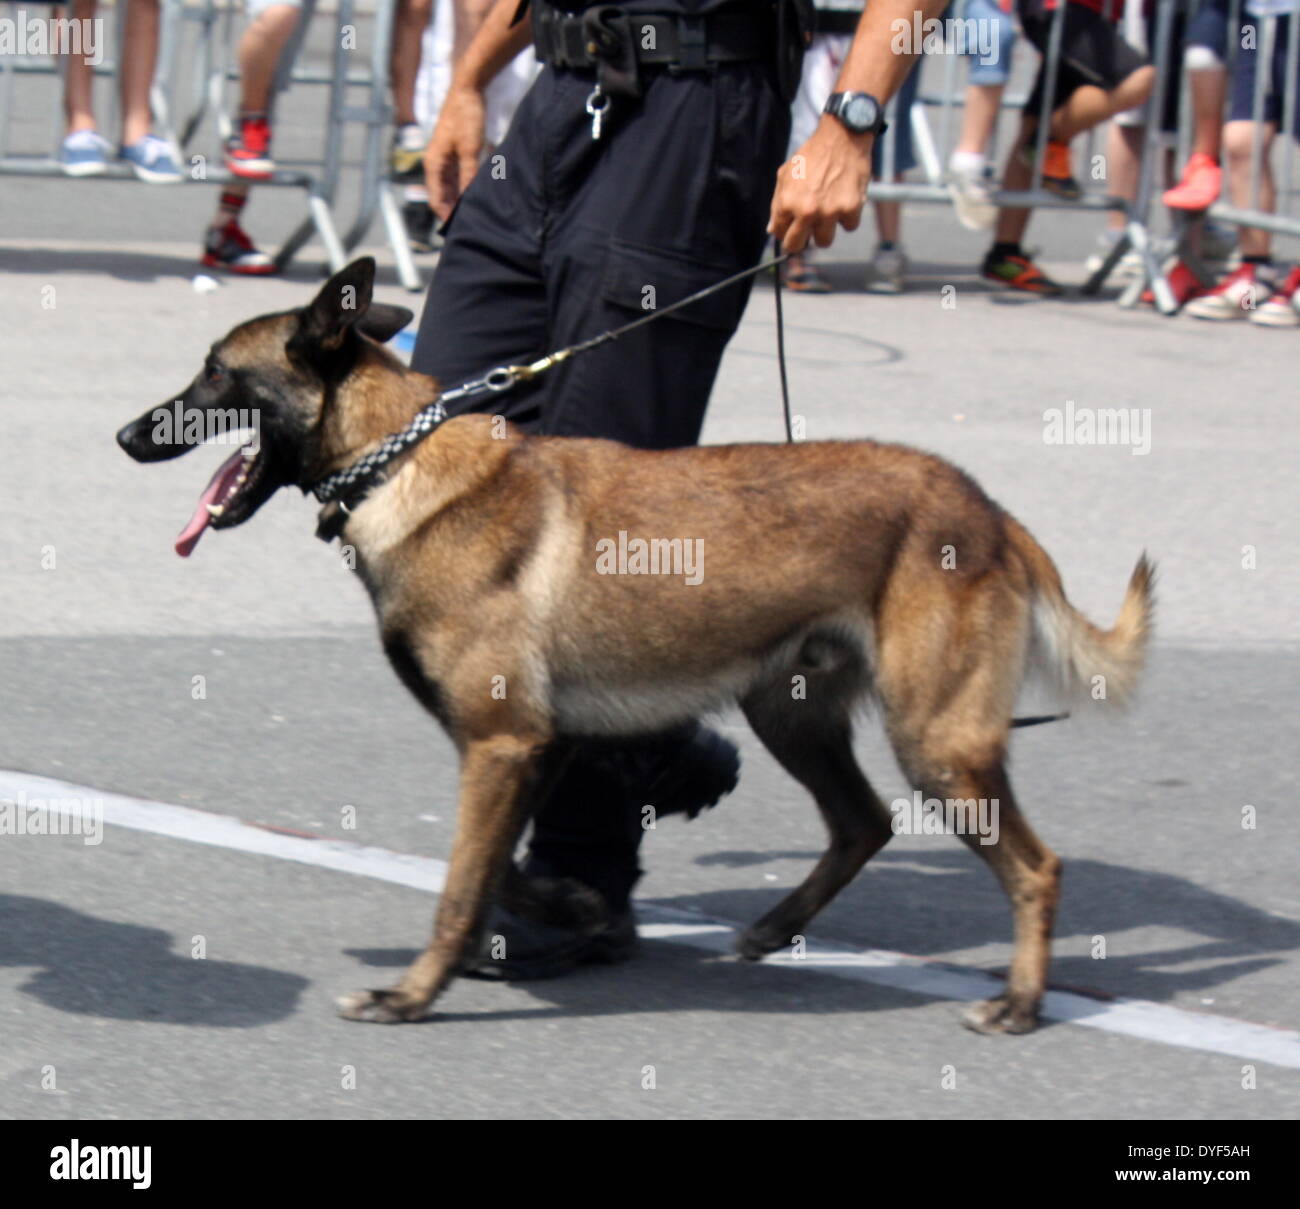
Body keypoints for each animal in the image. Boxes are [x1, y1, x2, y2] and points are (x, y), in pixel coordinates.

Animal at [116, 258, 1154, 1029]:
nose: (127, 434)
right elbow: (495, 873)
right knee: (863, 822)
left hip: (934, 740)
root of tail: (986, 507)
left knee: (1035, 867)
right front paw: (573, 911)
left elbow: (459, 885)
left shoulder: (501, 746)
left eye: (215, 370)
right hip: (791, 712)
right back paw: (773, 927)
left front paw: (411, 994)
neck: (399, 460)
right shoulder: (530, 749)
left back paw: (1019, 1002)